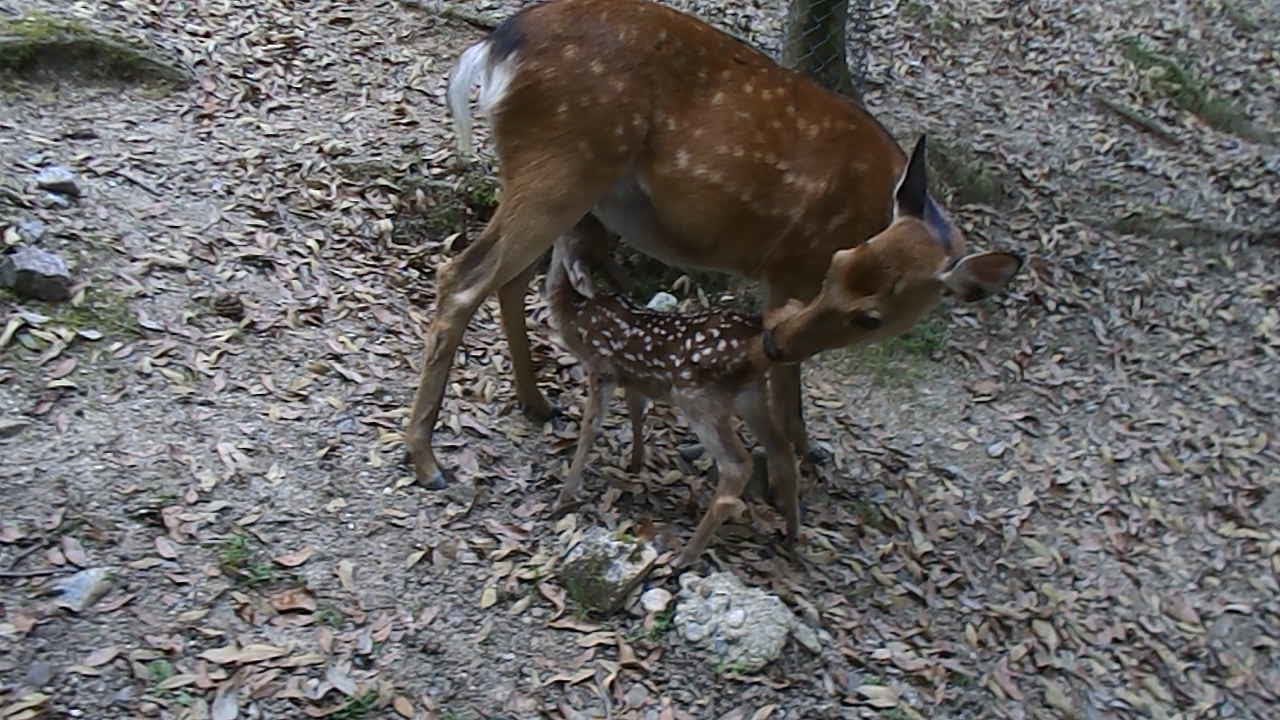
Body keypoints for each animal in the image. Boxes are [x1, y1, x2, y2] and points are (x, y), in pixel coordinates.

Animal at [407, 0, 1022, 489]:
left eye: (871, 314)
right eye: (837, 265)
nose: (776, 341)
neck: (871, 207)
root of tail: (493, 45)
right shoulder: (791, 266)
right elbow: (788, 381)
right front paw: (796, 462)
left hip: (556, 179)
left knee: (508, 279)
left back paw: (535, 404)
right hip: (562, 164)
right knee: (461, 277)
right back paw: (427, 460)